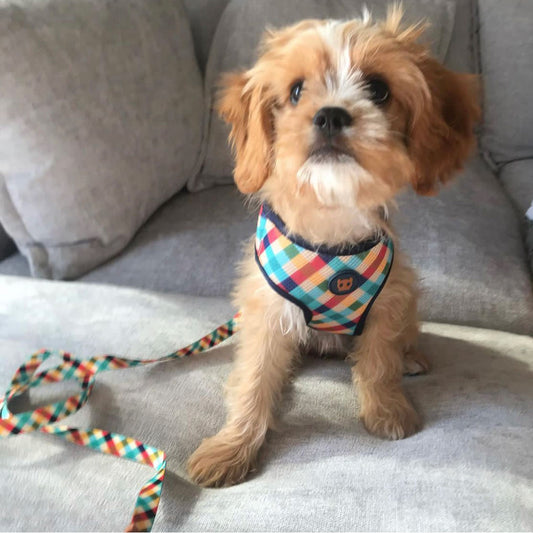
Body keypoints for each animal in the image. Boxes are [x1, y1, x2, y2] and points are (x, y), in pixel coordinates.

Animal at [186, 6, 478, 486]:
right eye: (296, 91)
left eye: (378, 89)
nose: (330, 115)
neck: (331, 214)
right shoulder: (266, 313)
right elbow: (253, 380)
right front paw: (231, 448)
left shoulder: (388, 300)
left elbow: (379, 362)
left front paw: (387, 411)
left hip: (408, 297)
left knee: (404, 338)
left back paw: (411, 356)